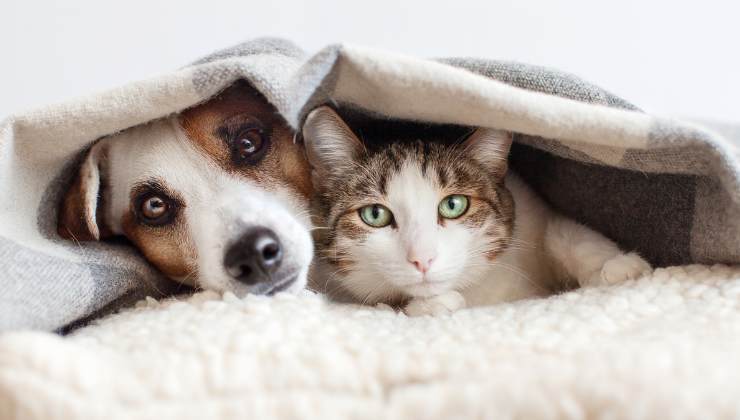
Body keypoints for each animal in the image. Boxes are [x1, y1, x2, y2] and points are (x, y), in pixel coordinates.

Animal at [304, 106, 652, 316]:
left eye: (453, 205)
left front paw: (619, 266)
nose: (422, 259)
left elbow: (565, 232)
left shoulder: (531, 208)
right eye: (375, 215)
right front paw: (432, 304)